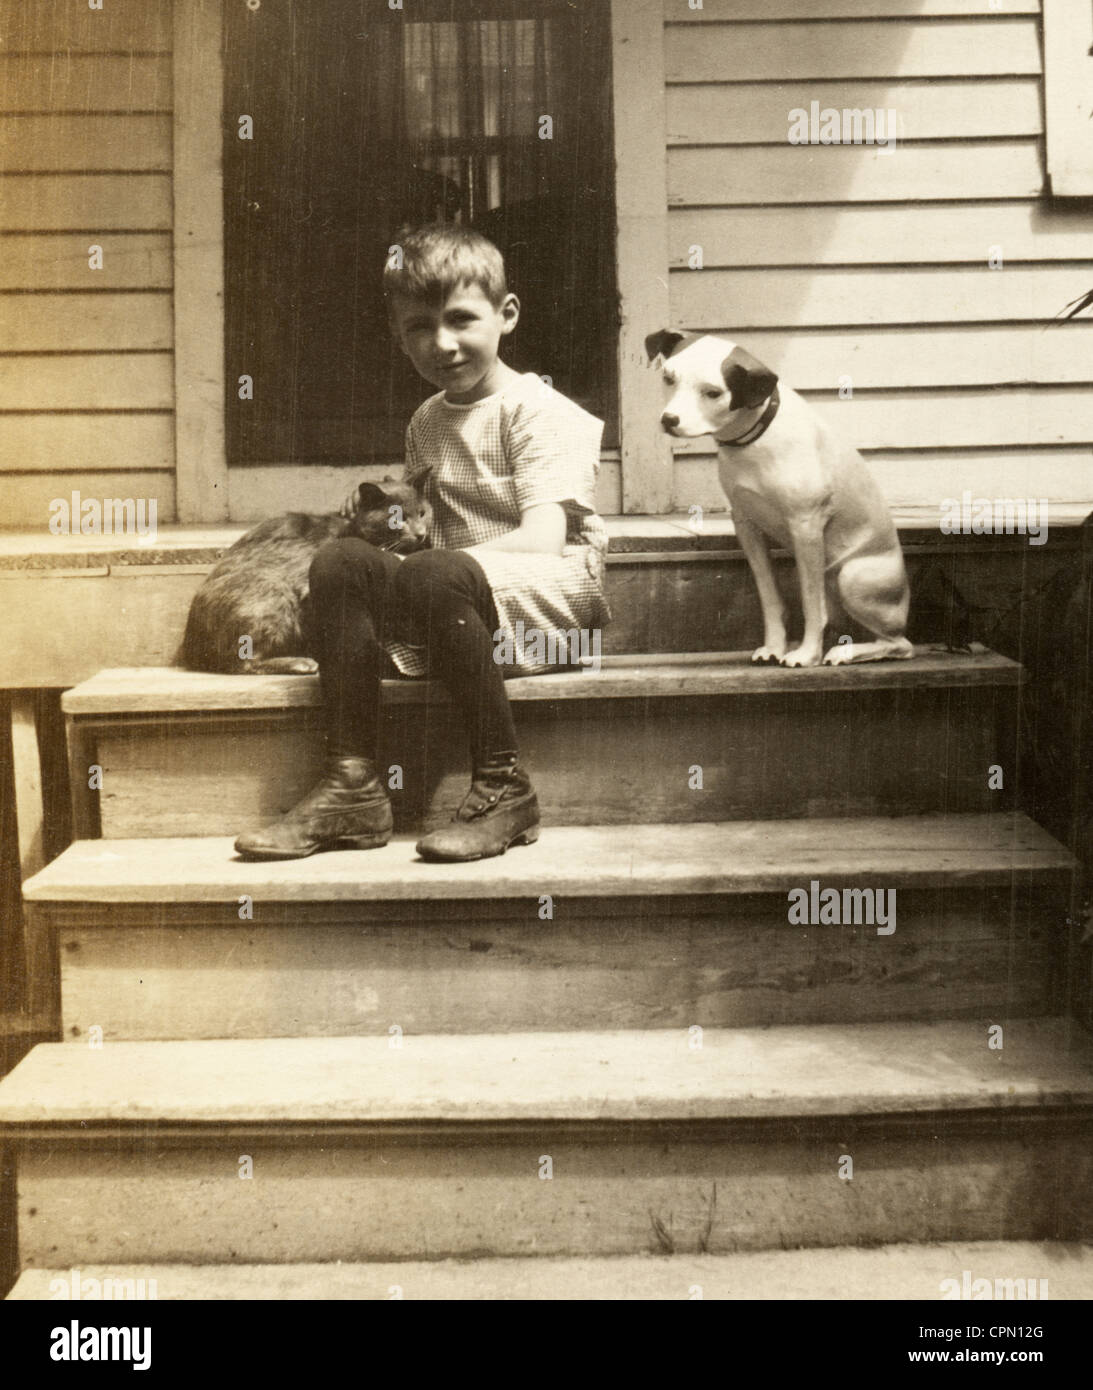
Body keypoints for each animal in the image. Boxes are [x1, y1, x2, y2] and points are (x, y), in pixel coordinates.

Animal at [642, 330, 906, 667]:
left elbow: (810, 604)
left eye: (713, 393)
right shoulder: (747, 525)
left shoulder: (805, 527)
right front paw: (774, 647)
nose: (669, 419)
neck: (757, 438)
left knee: (897, 643)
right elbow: (770, 598)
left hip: (853, 576)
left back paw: (845, 652)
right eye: (668, 378)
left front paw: (806, 655)